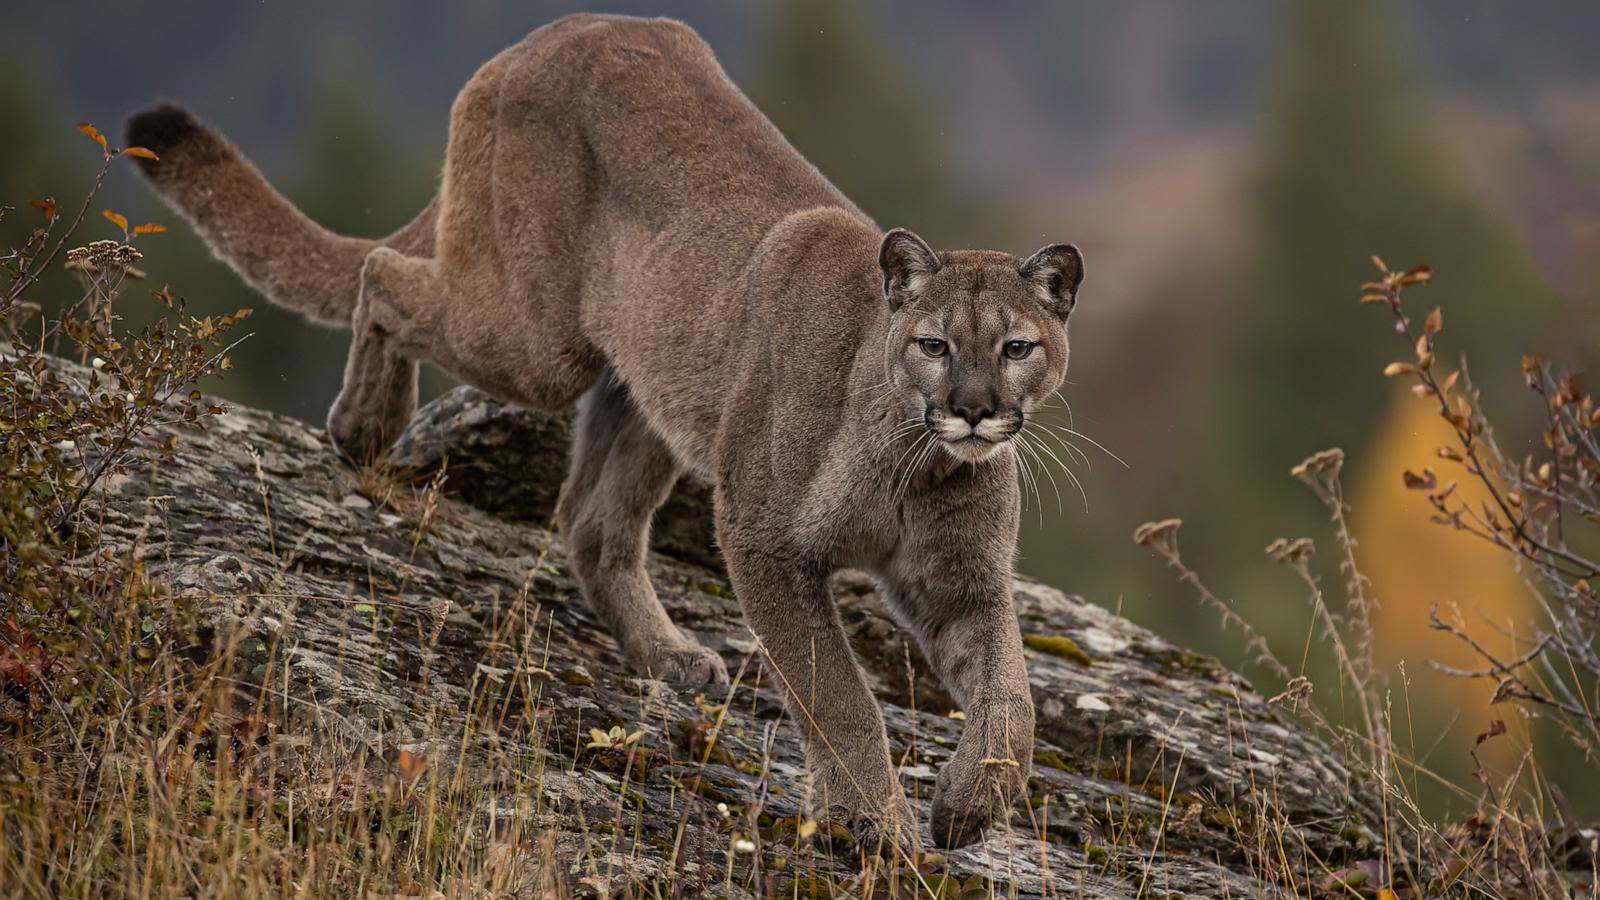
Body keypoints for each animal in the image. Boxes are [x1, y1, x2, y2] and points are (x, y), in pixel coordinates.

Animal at [121, 12, 1075, 845]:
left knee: (592, 520)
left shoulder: (959, 583)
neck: (913, 459)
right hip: (536, 342)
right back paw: (364, 425)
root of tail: (550, 33)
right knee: (384, 274)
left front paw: (969, 806)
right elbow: (836, 689)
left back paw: (668, 654)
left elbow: (1012, 698)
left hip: (650, 383)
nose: (976, 408)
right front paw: (873, 824)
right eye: (934, 345)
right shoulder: (767, 540)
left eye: (1017, 346)